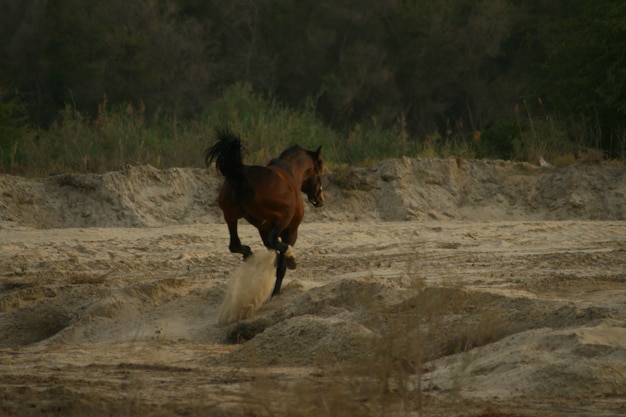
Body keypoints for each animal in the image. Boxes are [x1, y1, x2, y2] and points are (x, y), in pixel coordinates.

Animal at [205, 130, 324, 296]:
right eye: (320, 171)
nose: (320, 199)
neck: (291, 174)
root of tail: (241, 173)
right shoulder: (290, 231)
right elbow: (281, 265)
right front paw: (276, 290)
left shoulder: (263, 228)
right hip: (283, 217)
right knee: (269, 242)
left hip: (230, 216)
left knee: (235, 245)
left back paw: (249, 255)